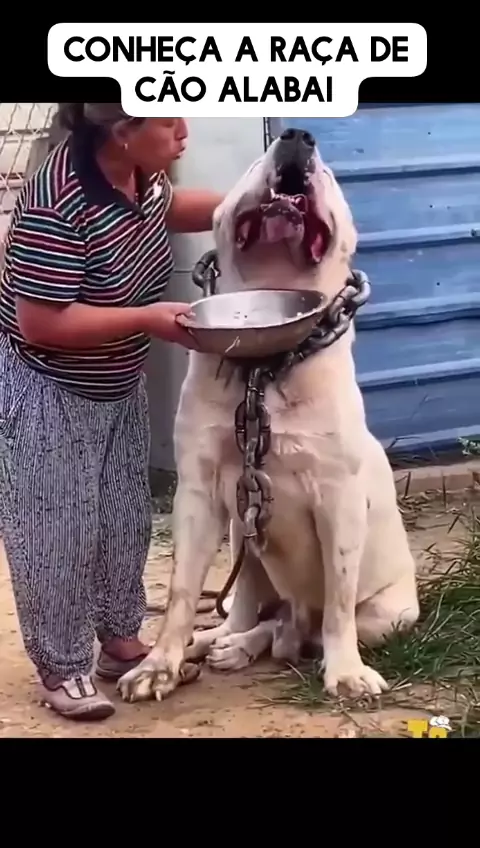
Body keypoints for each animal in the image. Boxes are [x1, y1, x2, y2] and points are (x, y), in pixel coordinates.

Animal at [118, 127, 420, 703]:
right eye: (256, 161)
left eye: (329, 174)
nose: (297, 136)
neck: (265, 369)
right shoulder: (198, 493)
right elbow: (181, 592)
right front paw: (158, 665)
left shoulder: (341, 501)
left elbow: (339, 601)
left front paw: (346, 673)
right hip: (245, 541)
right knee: (248, 612)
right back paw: (220, 642)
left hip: (390, 615)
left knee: (301, 627)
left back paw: (260, 644)